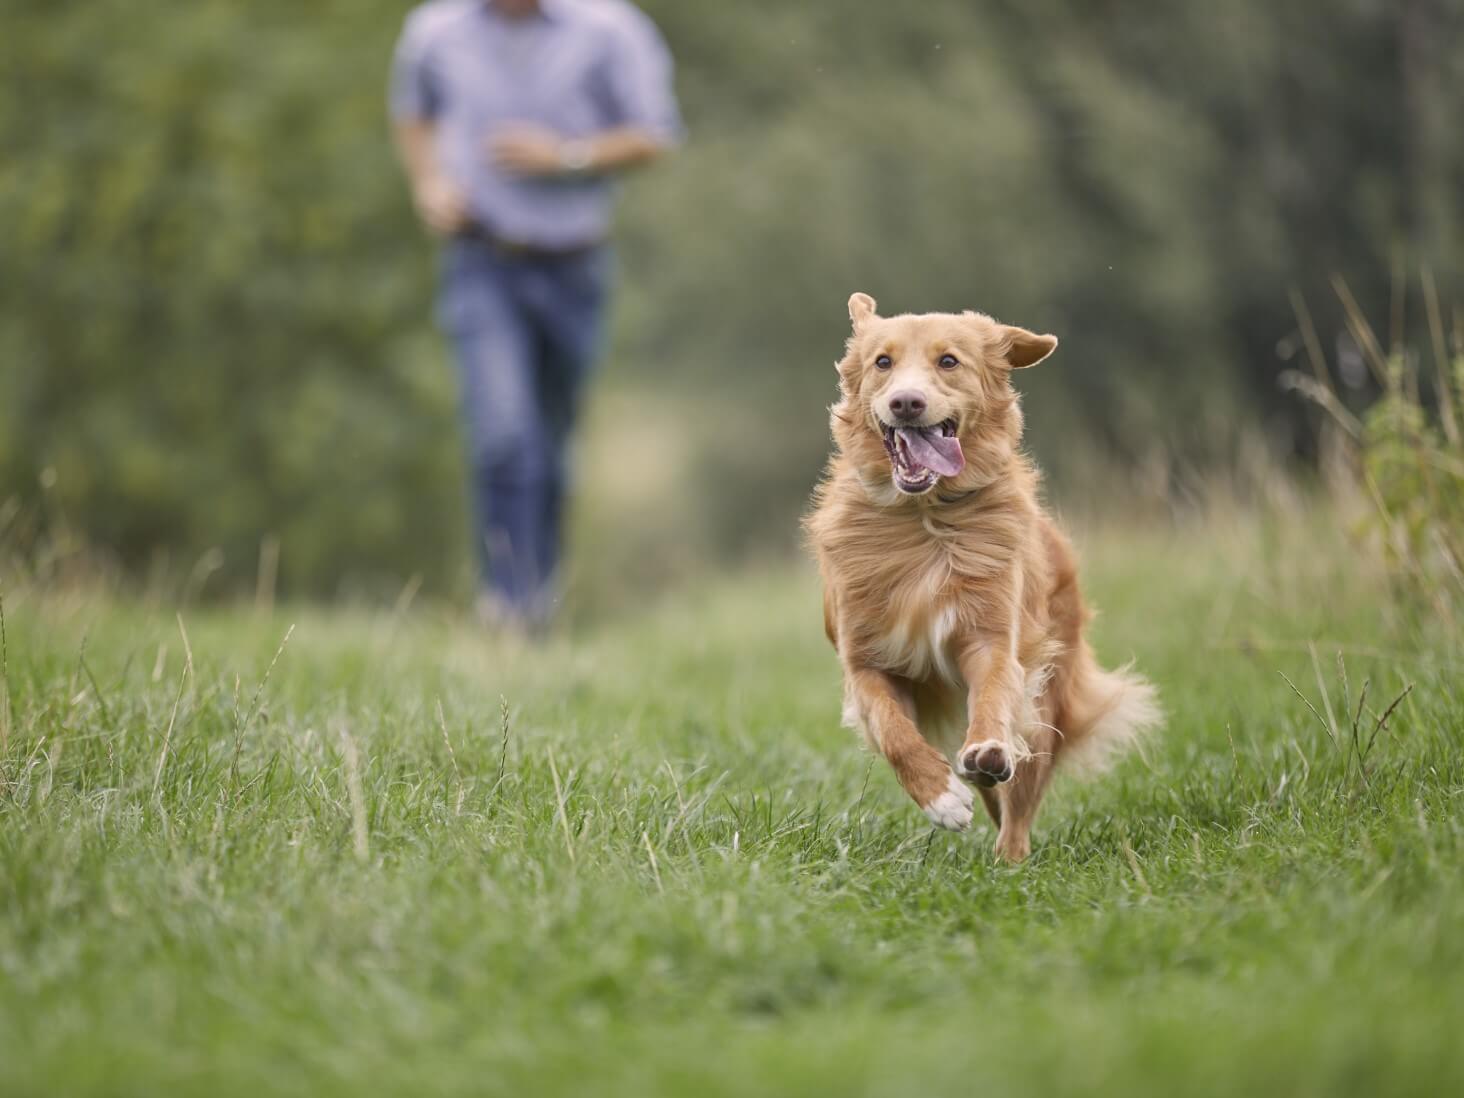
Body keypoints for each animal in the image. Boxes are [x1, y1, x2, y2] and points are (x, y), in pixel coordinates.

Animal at [802, 297, 1153, 866]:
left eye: (949, 361)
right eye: (882, 362)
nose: (906, 403)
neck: (923, 517)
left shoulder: (991, 640)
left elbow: (991, 699)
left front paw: (987, 750)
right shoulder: (866, 663)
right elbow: (896, 733)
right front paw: (942, 797)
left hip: (1046, 694)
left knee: (1021, 793)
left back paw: (1009, 854)